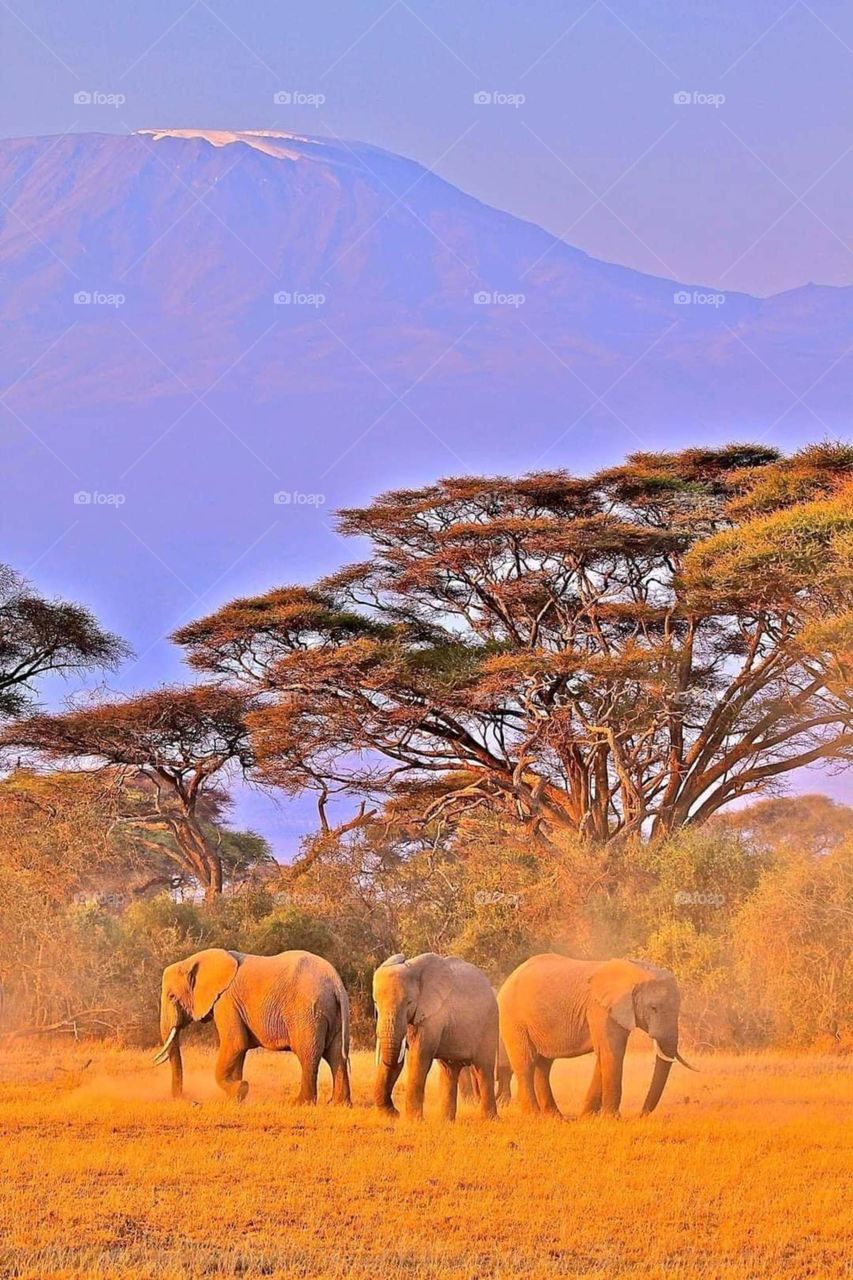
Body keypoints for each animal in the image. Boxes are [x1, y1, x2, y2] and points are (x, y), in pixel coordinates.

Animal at [154, 947, 351, 1105]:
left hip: (308, 1013)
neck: (194, 960)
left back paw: (299, 1104)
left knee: (308, 1056)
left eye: (171, 997)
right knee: (336, 1056)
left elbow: (236, 1043)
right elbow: (238, 1052)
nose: (191, 1102)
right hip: (332, 1013)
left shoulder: (225, 1001)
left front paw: (240, 1089)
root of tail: (336, 982)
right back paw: (339, 1105)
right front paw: (235, 1099)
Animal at [372, 953, 499, 1120]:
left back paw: (489, 1119)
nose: (395, 1111)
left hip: (490, 1021)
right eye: (375, 1002)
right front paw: (390, 1116)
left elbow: (419, 1056)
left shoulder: (433, 1015)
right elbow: (399, 1056)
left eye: (409, 1002)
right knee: (449, 1070)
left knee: (483, 1068)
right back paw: (445, 1121)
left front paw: (413, 1120)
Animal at [498, 954, 694, 1117]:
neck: (634, 972)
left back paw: (554, 1118)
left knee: (544, 1065)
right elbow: (612, 1053)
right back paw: (534, 1116)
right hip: (513, 1020)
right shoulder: (600, 1010)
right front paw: (612, 1119)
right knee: (526, 1063)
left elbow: (604, 1055)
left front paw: (588, 1116)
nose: (640, 1115)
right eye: (654, 1008)